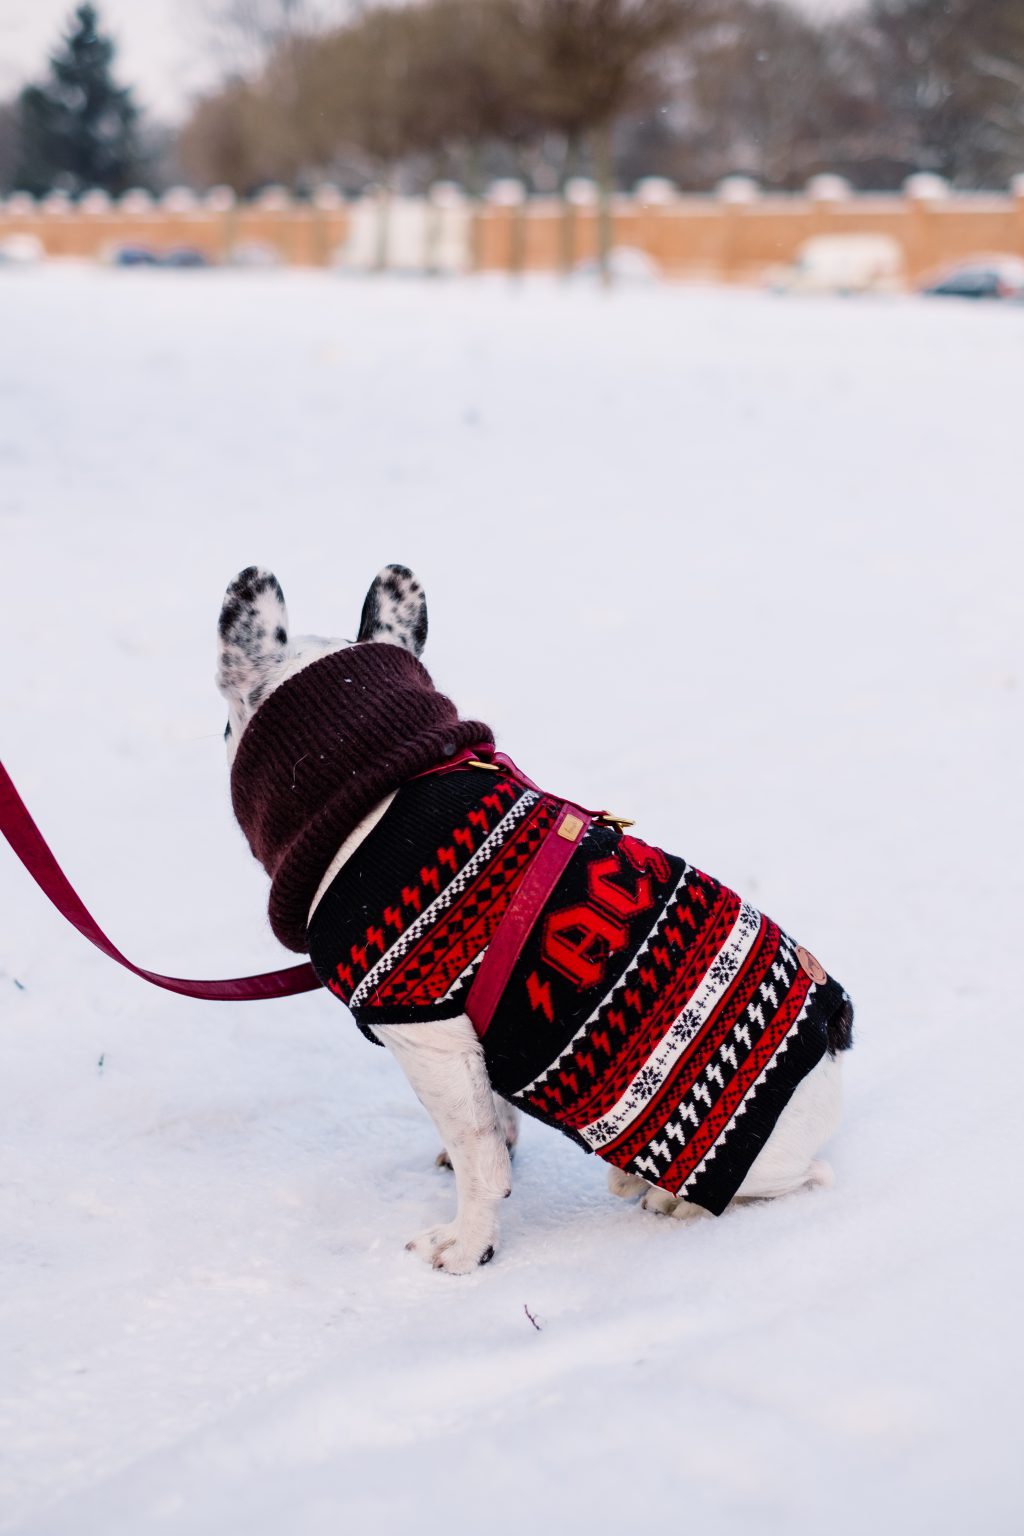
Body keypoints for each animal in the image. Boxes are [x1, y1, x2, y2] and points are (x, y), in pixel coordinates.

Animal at [221, 565, 853, 1271]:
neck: (379, 792)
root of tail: (836, 1032)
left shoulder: (428, 1036)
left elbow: (479, 1159)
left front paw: (467, 1246)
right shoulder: (477, 1040)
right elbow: (493, 1119)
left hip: (753, 1163)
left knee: (801, 1180)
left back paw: (673, 1202)